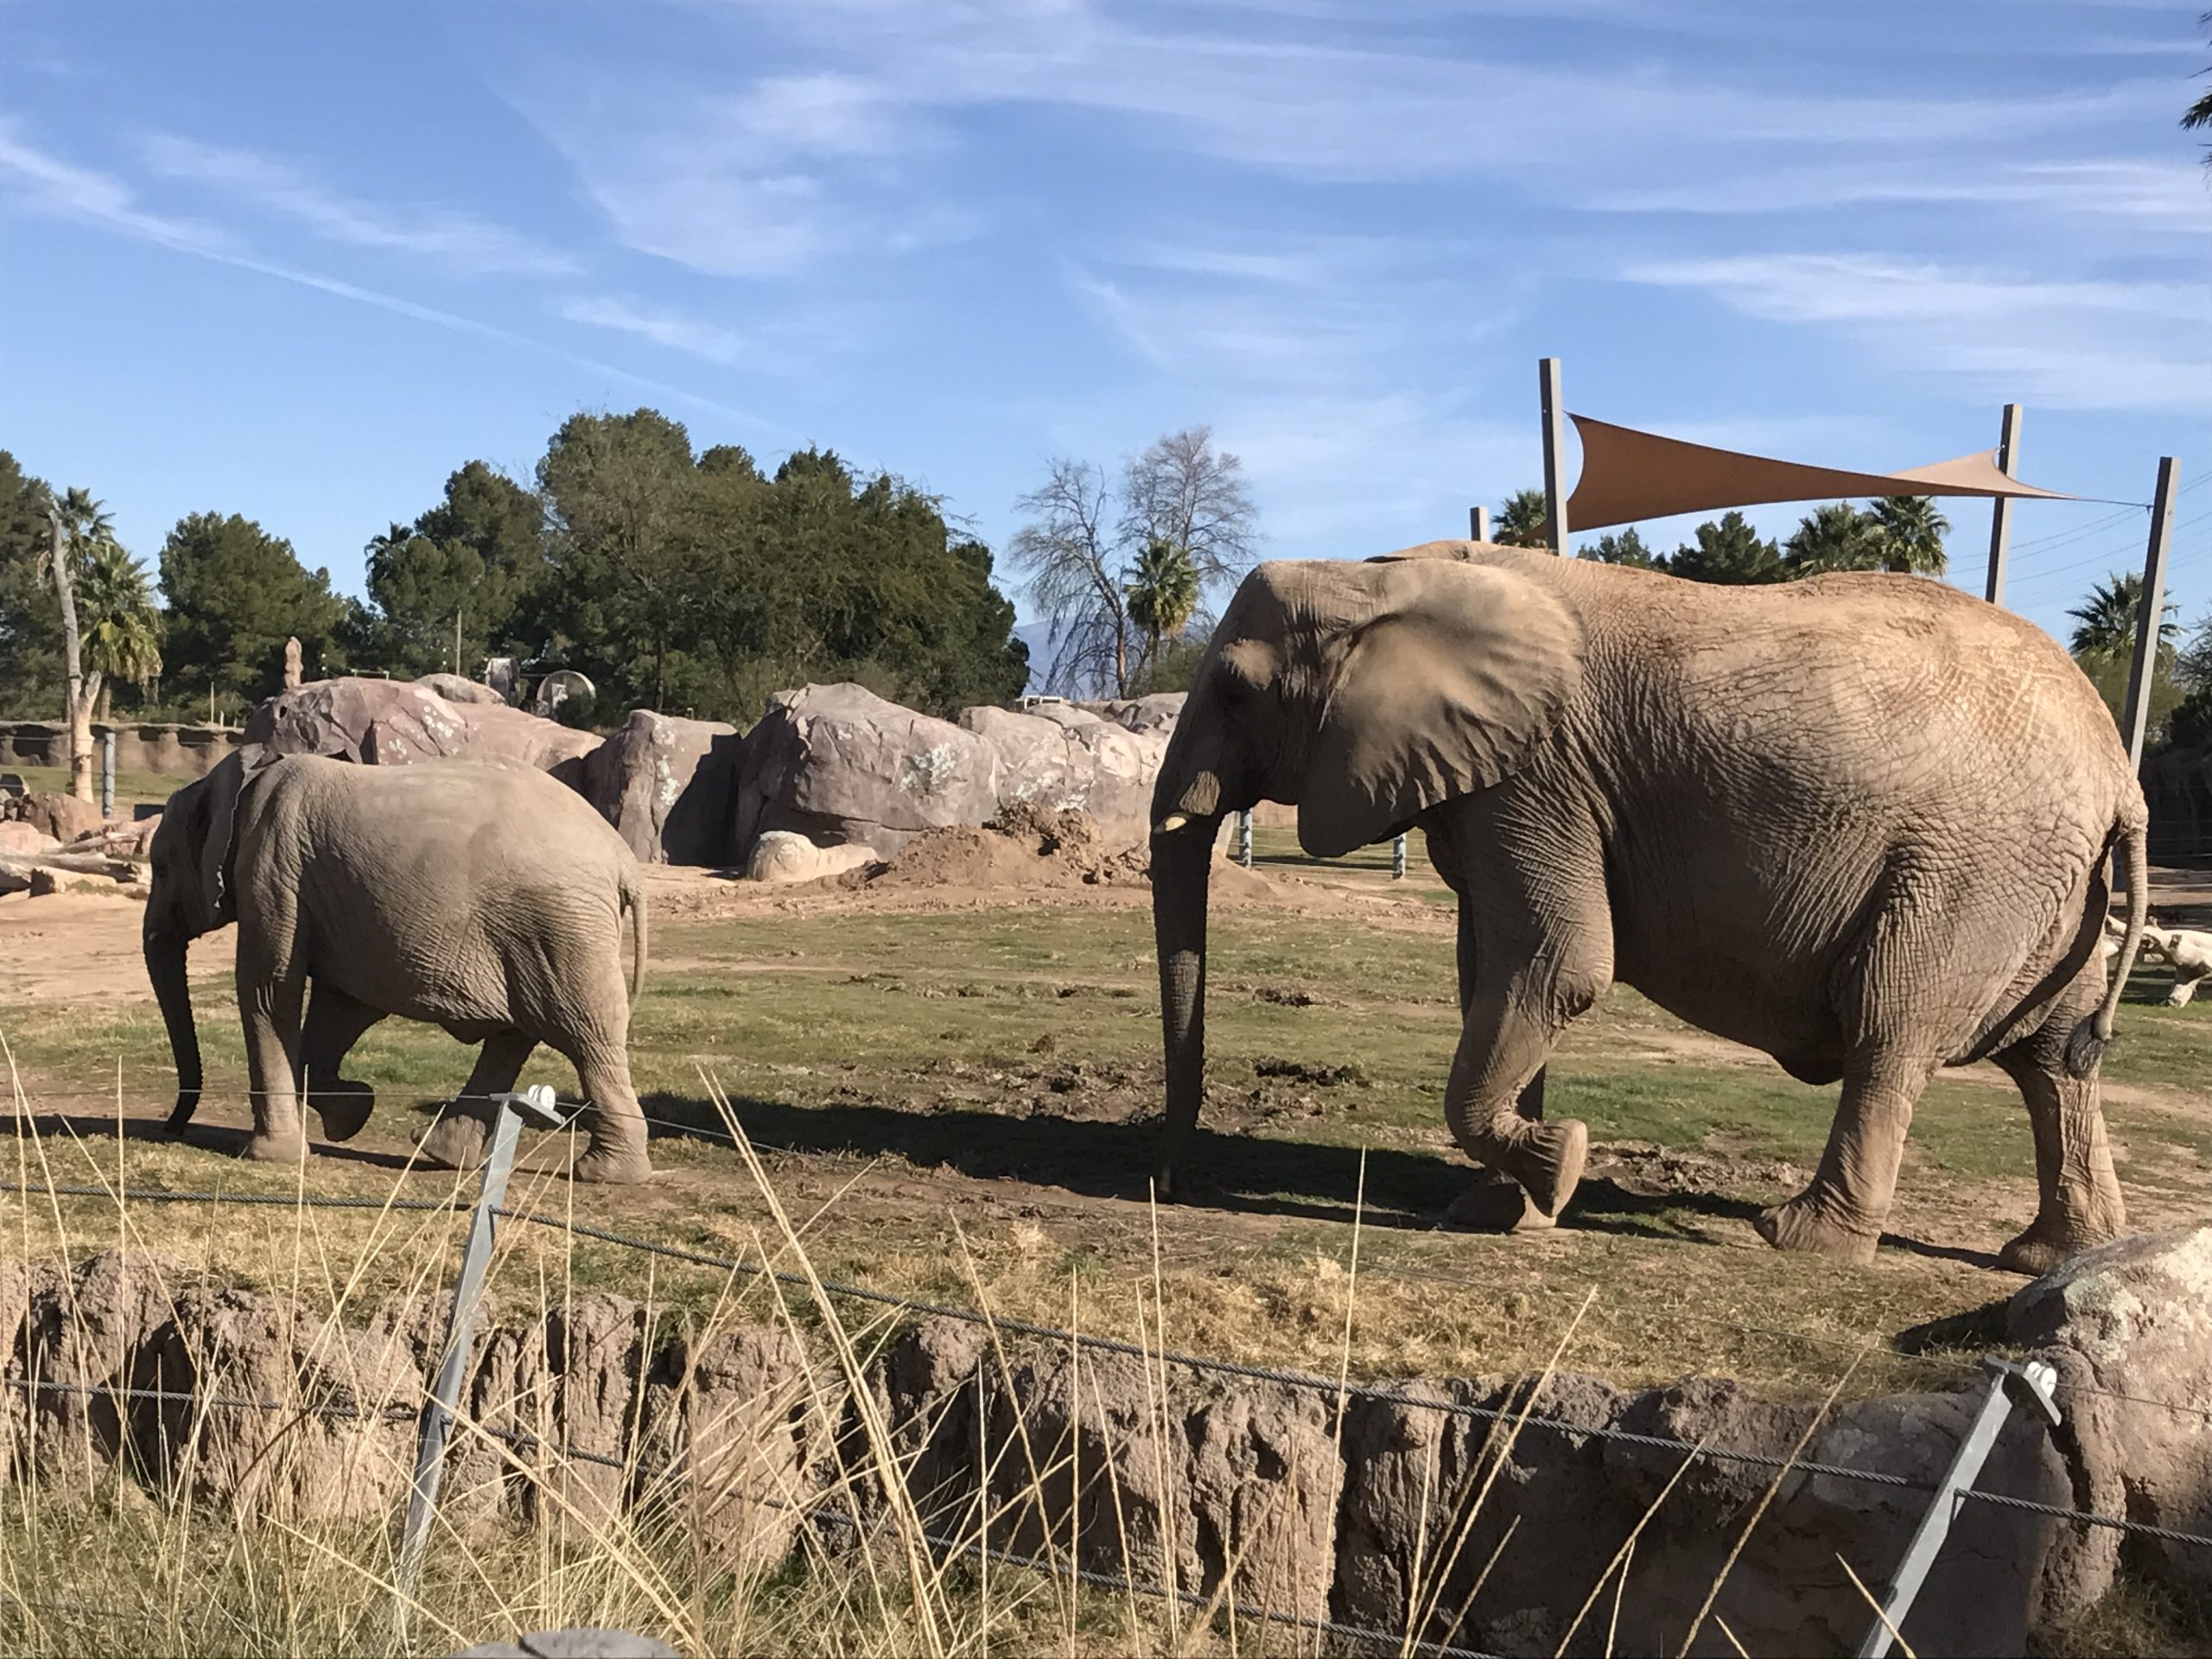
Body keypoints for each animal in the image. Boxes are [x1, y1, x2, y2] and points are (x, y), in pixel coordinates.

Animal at [141, 752, 645, 1185]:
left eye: (161, 870)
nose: (171, 1129)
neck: (241, 777)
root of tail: (624, 861)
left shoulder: (272, 869)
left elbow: (268, 991)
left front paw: (273, 1156)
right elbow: (340, 1007)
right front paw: (351, 1117)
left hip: (558, 926)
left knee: (586, 1037)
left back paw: (605, 1174)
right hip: (540, 932)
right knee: (521, 1034)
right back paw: (443, 1154)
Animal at [1150, 546, 2150, 1274]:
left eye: (1235, 691)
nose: (1169, 1170)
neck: (1377, 575)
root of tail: (2119, 774)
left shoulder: (1539, 777)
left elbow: (1557, 966)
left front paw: (1558, 1169)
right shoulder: (1497, 788)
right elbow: (1496, 972)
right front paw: (1502, 1206)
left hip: (1970, 871)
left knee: (1889, 1030)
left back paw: (1800, 1240)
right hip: (2050, 894)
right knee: (2057, 1056)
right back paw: (2052, 1257)